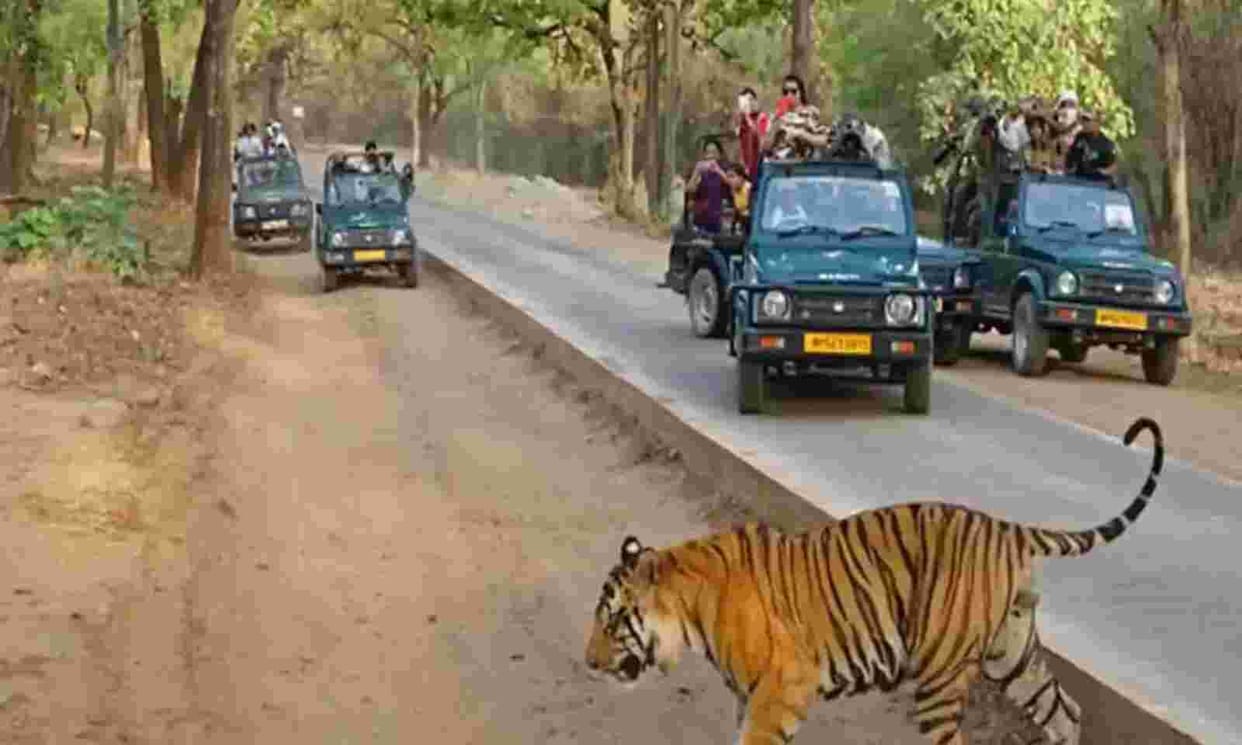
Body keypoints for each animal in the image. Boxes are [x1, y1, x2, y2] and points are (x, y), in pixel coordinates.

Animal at [584, 416, 1163, 745]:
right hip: (1011, 652)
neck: (691, 609)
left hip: (941, 671)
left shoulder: (781, 689)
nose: (588, 663)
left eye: (613, 620)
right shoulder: (751, 696)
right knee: (1066, 711)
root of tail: (1006, 527)